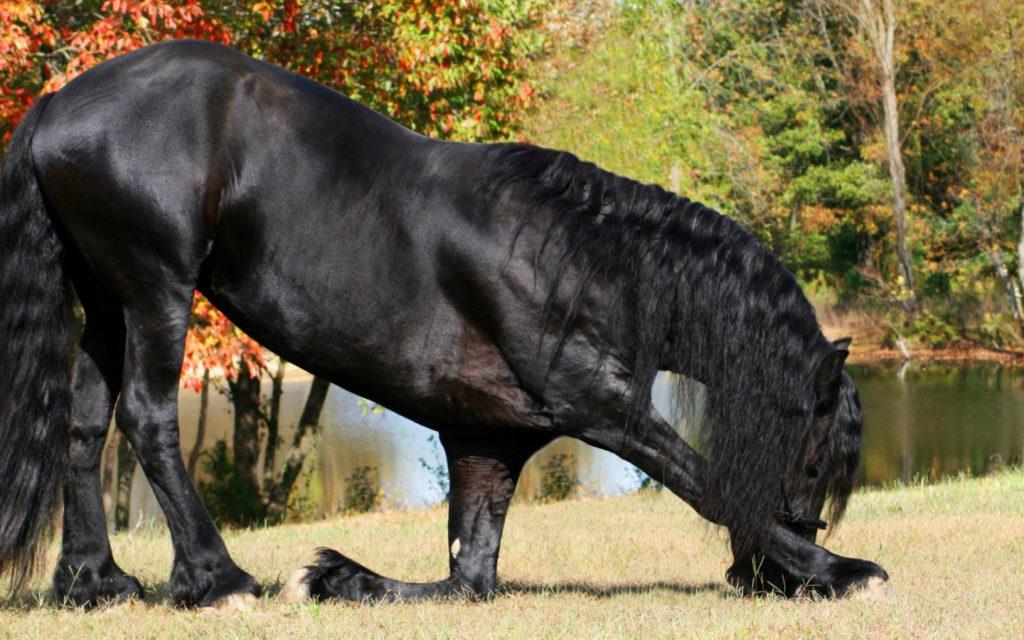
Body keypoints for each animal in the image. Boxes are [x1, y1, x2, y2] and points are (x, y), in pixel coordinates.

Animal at [0, 37, 888, 606]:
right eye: (815, 457)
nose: (758, 578)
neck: (575, 256)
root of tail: (57, 103)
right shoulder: (599, 406)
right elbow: (700, 481)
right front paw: (839, 568)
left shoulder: (486, 444)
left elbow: (468, 578)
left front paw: (339, 576)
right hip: (156, 288)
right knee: (149, 419)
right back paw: (216, 581)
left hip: (105, 300)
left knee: (83, 426)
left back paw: (96, 583)